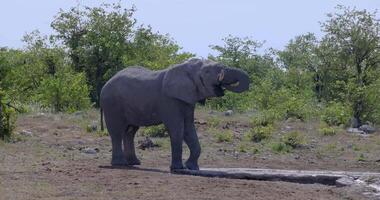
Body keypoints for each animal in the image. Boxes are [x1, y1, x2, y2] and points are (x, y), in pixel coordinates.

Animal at [99, 58, 251, 171]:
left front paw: (192, 168)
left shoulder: (187, 99)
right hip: (112, 104)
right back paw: (120, 164)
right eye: (208, 72)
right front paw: (178, 168)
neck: (185, 68)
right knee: (117, 132)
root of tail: (104, 85)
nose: (222, 81)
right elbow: (177, 128)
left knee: (130, 131)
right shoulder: (169, 100)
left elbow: (189, 128)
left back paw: (135, 163)